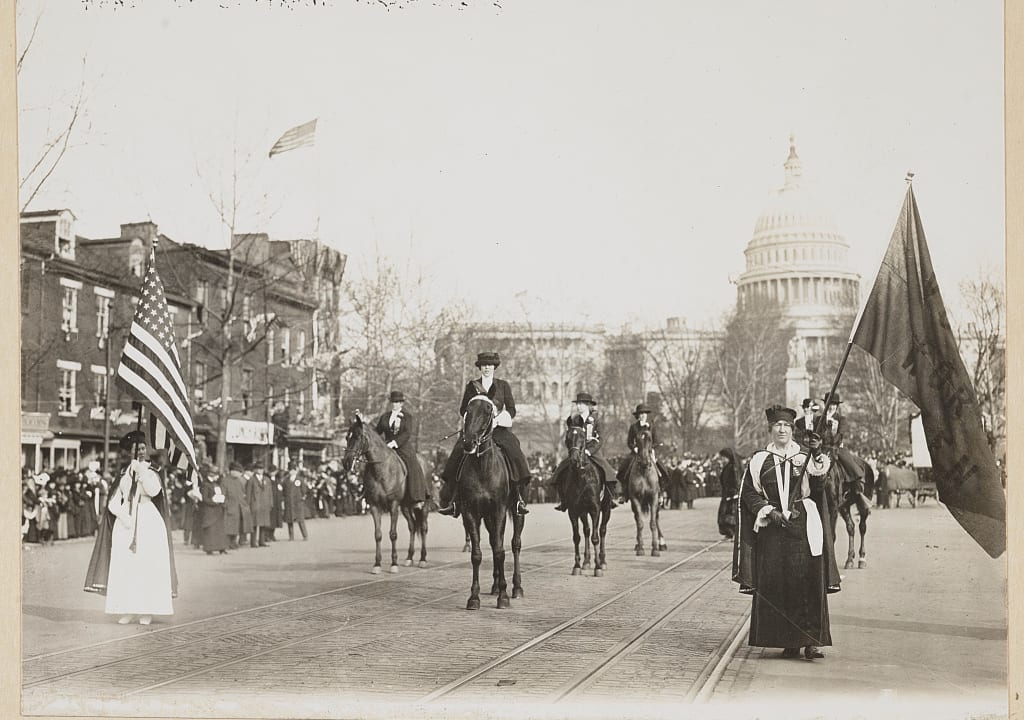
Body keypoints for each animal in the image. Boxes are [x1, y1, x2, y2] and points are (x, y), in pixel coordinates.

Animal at [339, 417, 428, 573]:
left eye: (358, 436)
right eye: (346, 437)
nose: (346, 462)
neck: (381, 469)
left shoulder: (393, 505)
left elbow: (393, 534)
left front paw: (394, 564)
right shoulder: (374, 506)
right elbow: (378, 535)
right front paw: (377, 564)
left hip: (422, 505)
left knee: (423, 528)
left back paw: (422, 559)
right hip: (405, 506)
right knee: (412, 526)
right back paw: (409, 558)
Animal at [456, 393, 524, 606]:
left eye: (488, 411)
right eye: (467, 410)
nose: (468, 442)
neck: (482, 468)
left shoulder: (499, 510)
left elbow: (501, 552)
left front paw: (504, 596)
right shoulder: (471, 513)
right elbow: (477, 554)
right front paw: (474, 597)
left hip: (517, 512)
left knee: (515, 544)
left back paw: (516, 587)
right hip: (487, 518)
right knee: (494, 542)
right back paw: (495, 586)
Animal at [561, 426, 606, 577]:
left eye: (583, 437)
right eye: (567, 438)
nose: (574, 460)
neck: (581, 477)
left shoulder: (595, 509)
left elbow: (595, 538)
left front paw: (598, 567)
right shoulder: (574, 511)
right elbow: (577, 537)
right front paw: (577, 566)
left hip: (606, 509)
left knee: (602, 530)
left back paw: (602, 561)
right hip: (583, 512)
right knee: (586, 531)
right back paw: (586, 562)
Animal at [626, 428, 667, 557]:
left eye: (650, 439)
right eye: (637, 439)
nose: (644, 462)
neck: (644, 471)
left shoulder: (653, 498)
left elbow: (653, 523)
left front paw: (655, 549)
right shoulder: (635, 499)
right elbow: (640, 523)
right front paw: (640, 548)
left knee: (657, 519)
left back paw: (662, 543)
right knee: (636, 519)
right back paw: (638, 543)